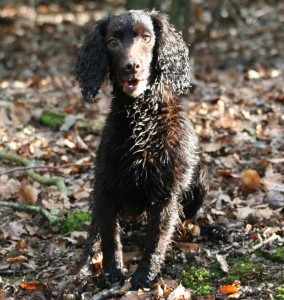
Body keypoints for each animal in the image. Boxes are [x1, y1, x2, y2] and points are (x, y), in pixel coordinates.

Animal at [75, 9, 209, 290]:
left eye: (146, 38)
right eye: (112, 42)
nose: (131, 66)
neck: (141, 119)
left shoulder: (167, 194)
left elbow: (157, 239)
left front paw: (145, 276)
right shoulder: (104, 188)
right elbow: (109, 237)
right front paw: (112, 273)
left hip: (201, 178)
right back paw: (85, 264)